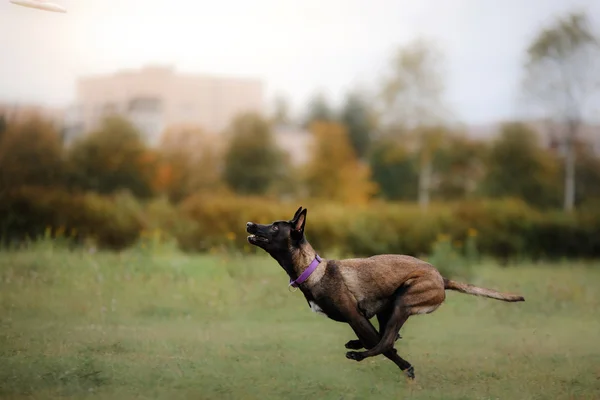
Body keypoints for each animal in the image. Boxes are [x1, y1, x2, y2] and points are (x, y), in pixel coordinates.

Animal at [246, 206, 524, 378]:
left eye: (274, 228)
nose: (249, 224)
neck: (314, 270)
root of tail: (441, 278)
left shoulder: (355, 317)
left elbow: (385, 346)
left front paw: (406, 367)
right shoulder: (366, 317)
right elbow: (382, 340)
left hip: (402, 301)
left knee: (386, 341)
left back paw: (359, 354)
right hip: (389, 307)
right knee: (387, 336)